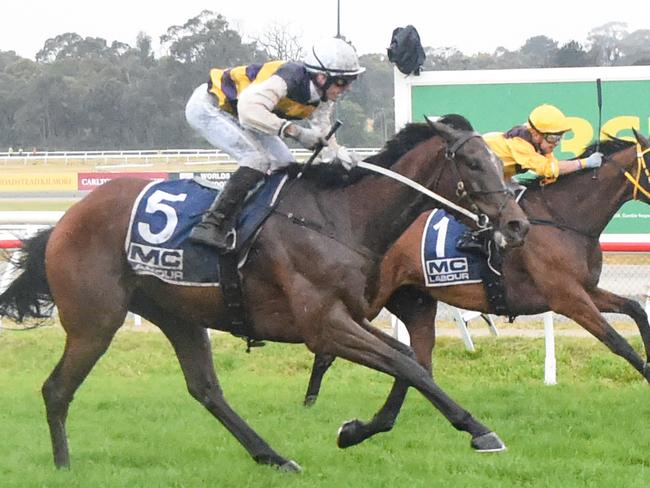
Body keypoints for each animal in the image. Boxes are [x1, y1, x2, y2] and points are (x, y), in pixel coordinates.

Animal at [0, 116, 528, 470]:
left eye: (500, 162)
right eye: (473, 163)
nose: (517, 225)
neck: (340, 218)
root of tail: (64, 221)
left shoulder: (348, 316)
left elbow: (409, 361)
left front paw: (356, 431)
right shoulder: (322, 326)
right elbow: (406, 364)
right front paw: (481, 431)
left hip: (177, 314)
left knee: (205, 389)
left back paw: (272, 456)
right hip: (95, 321)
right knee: (57, 389)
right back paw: (64, 466)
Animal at [302, 132, 648, 426]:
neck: (561, 218)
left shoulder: (586, 289)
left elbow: (635, 309)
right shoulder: (567, 297)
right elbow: (616, 341)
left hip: (410, 298)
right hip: (366, 299)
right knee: (326, 344)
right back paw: (310, 404)